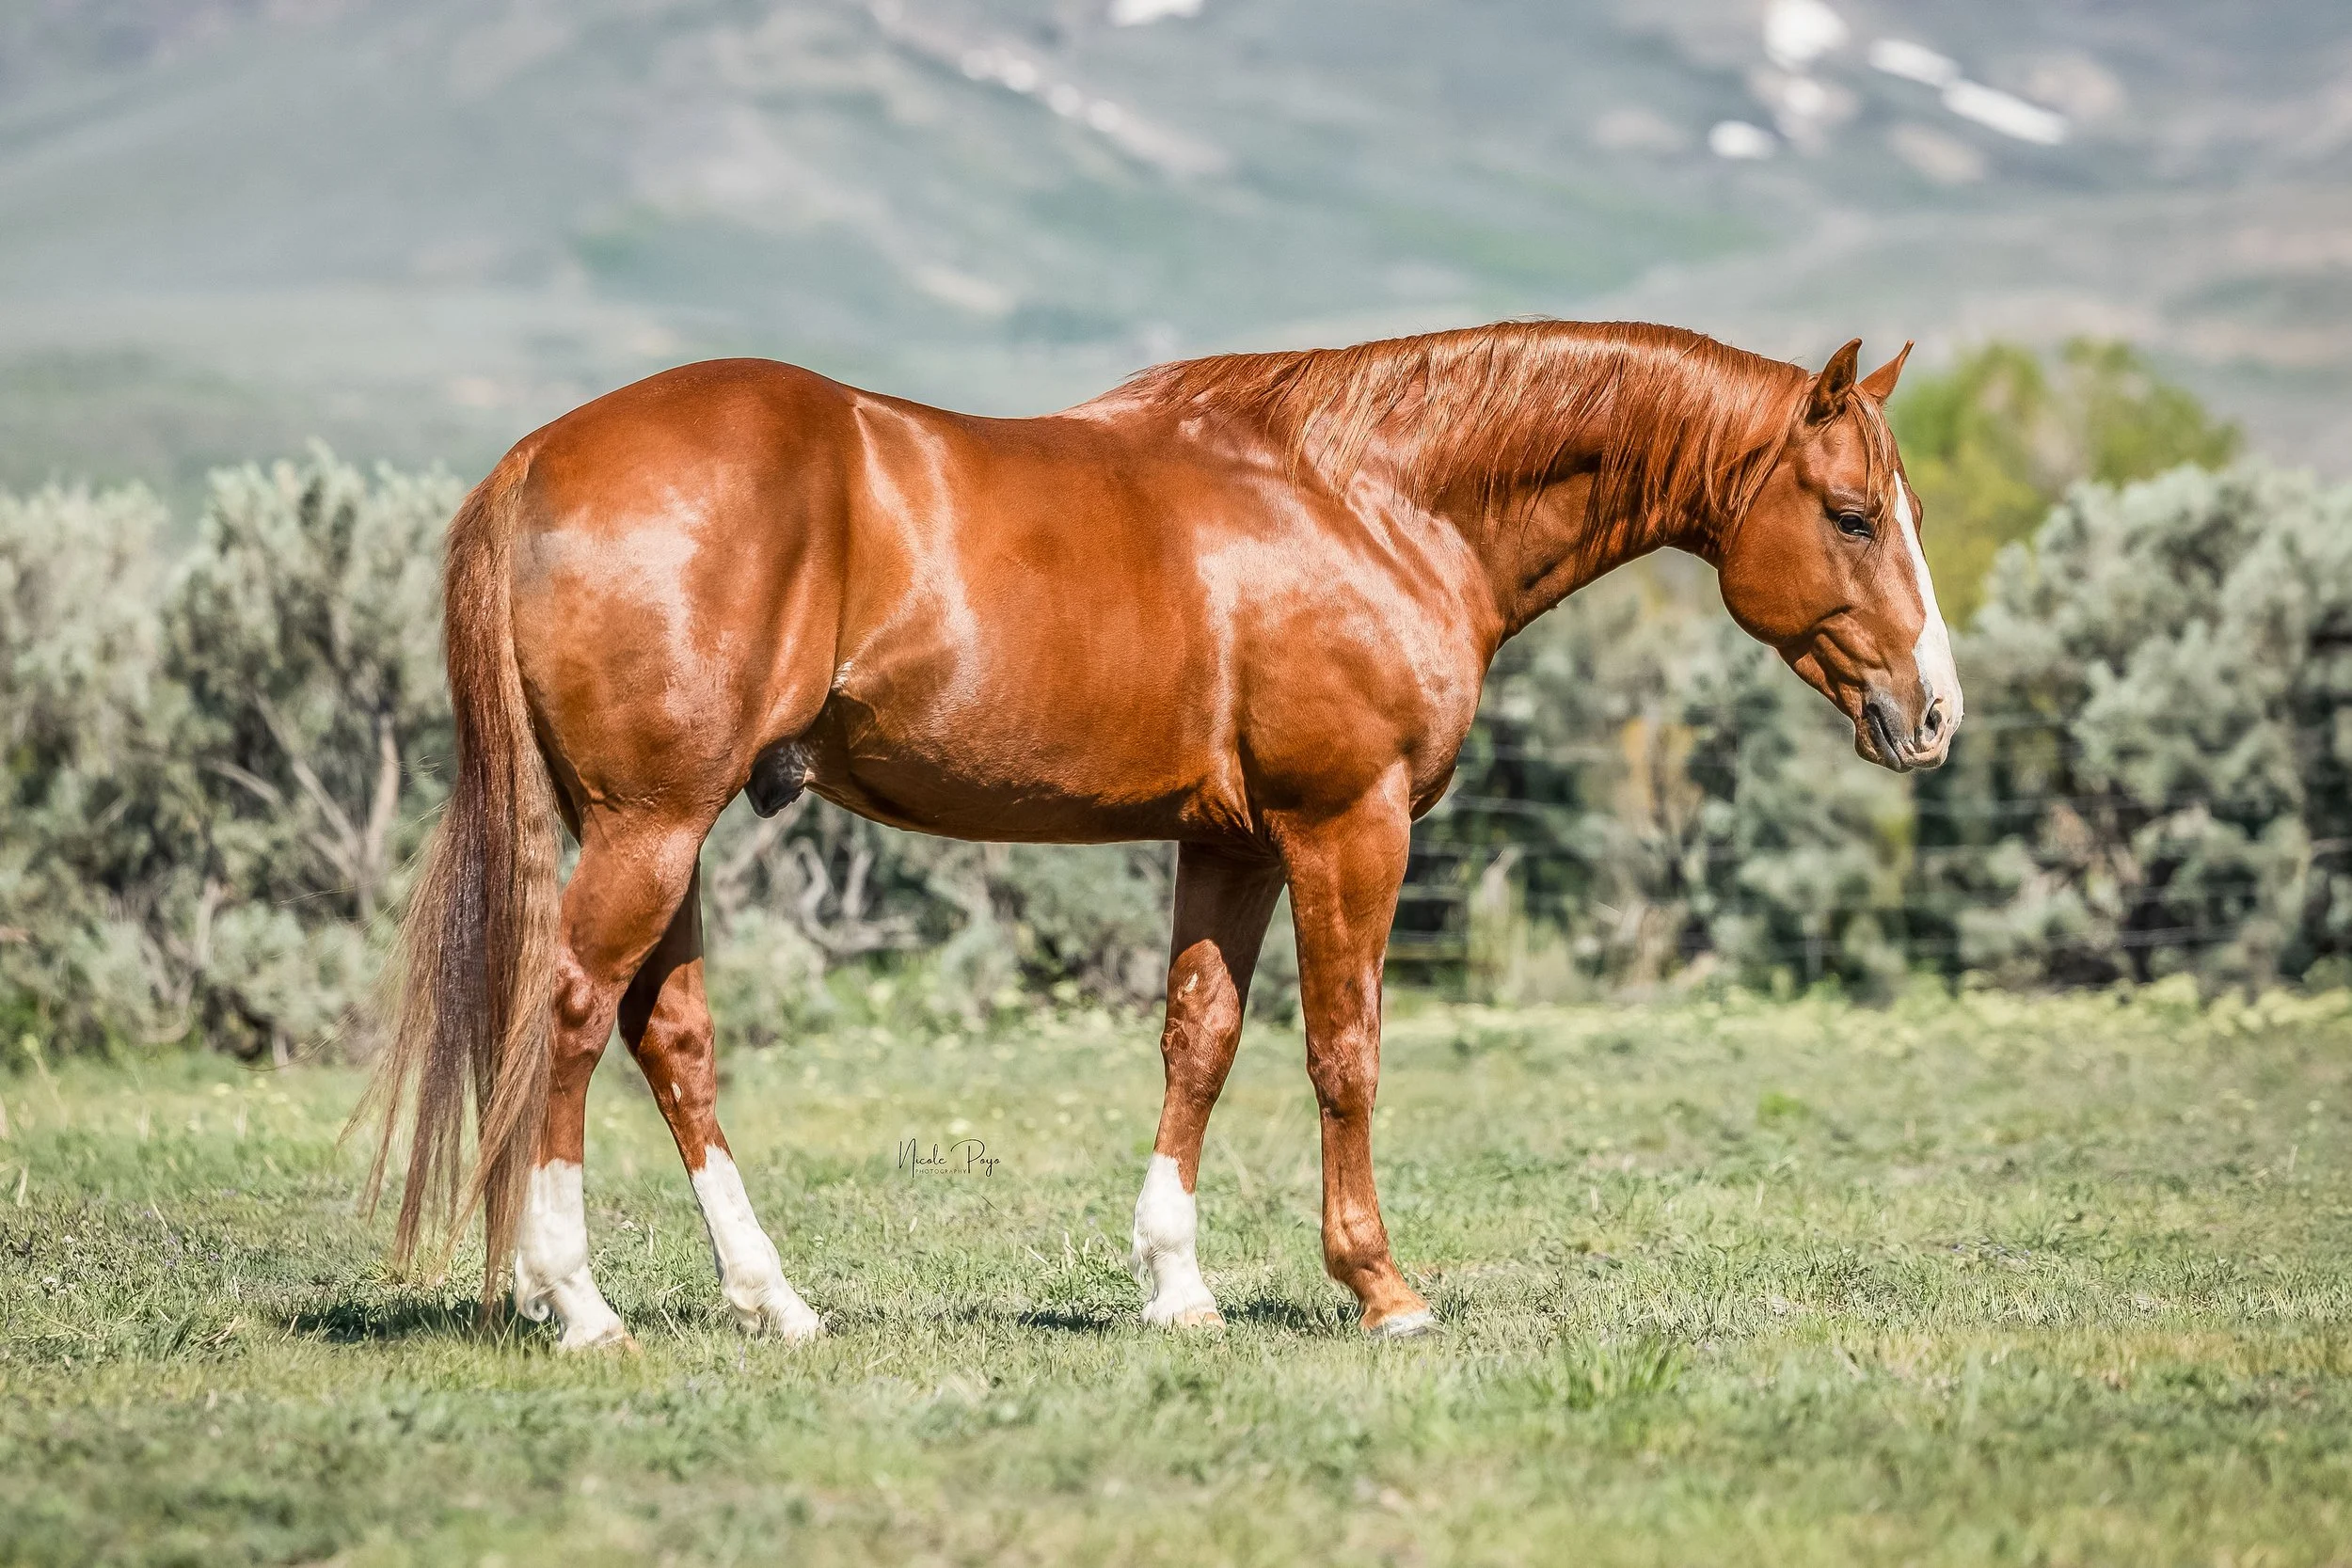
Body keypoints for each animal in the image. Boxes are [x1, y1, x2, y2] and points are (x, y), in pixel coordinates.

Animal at [360, 320, 1958, 1346]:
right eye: (1853, 513)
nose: (1934, 710)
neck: (1367, 497)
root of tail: (537, 458)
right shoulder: (1346, 823)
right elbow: (1344, 1048)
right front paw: (1382, 1287)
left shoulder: (1234, 841)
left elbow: (1202, 1037)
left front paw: (1177, 1287)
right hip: (651, 824)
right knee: (573, 1012)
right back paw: (579, 1302)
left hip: (666, 826)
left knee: (668, 1033)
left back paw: (775, 1302)